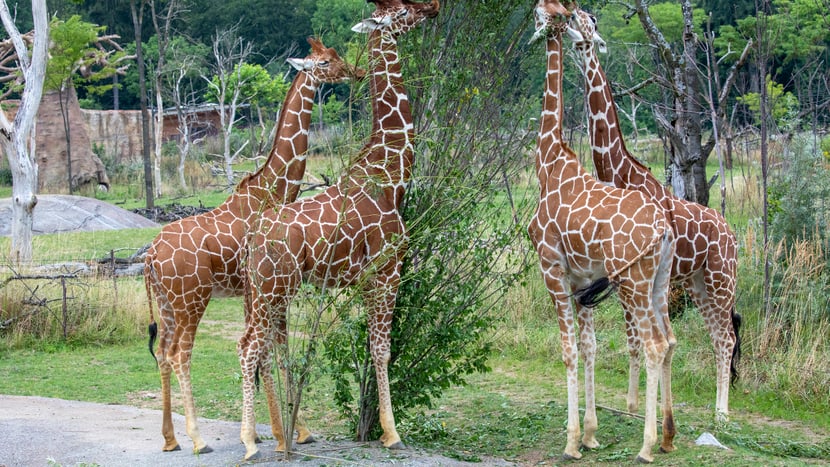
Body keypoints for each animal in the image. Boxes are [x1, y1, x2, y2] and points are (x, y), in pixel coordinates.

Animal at [144, 38, 364, 456]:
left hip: (166, 303)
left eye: (337, 55)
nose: (356, 71)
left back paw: (169, 439)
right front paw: (289, 433)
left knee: (162, 353)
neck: (274, 190)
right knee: (181, 354)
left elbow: (261, 352)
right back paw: (197, 439)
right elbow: (271, 349)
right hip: (192, 299)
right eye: (324, 62)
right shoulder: (267, 287)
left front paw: (266, 432)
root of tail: (149, 256)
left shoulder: (250, 292)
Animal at [237, 0, 438, 460]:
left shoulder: (365, 279)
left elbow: (369, 348)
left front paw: (380, 429)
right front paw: (392, 433)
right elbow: (382, 350)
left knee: (255, 346)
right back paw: (252, 442)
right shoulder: (388, 269)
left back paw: (275, 436)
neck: (392, 172)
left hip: (263, 290)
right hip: (274, 288)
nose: (434, 7)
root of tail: (254, 237)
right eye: (403, 10)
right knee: (250, 347)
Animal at [528, 0, 680, 462]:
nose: (534, 24)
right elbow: (590, 347)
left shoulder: (553, 270)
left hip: (633, 281)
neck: (547, 160)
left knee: (654, 344)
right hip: (659, 280)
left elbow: (568, 351)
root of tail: (665, 230)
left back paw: (647, 446)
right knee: (669, 339)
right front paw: (591, 434)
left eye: (542, 12)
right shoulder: (583, 282)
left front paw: (572, 441)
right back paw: (667, 436)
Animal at [564, 6, 740, 424]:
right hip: (698, 282)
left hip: (721, 278)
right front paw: (634, 405)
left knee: (726, 336)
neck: (620, 172)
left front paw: (645, 407)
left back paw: (722, 413)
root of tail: (732, 234)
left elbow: (643, 338)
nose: (571, 14)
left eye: (589, 23)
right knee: (717, 335)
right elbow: (634, 339)